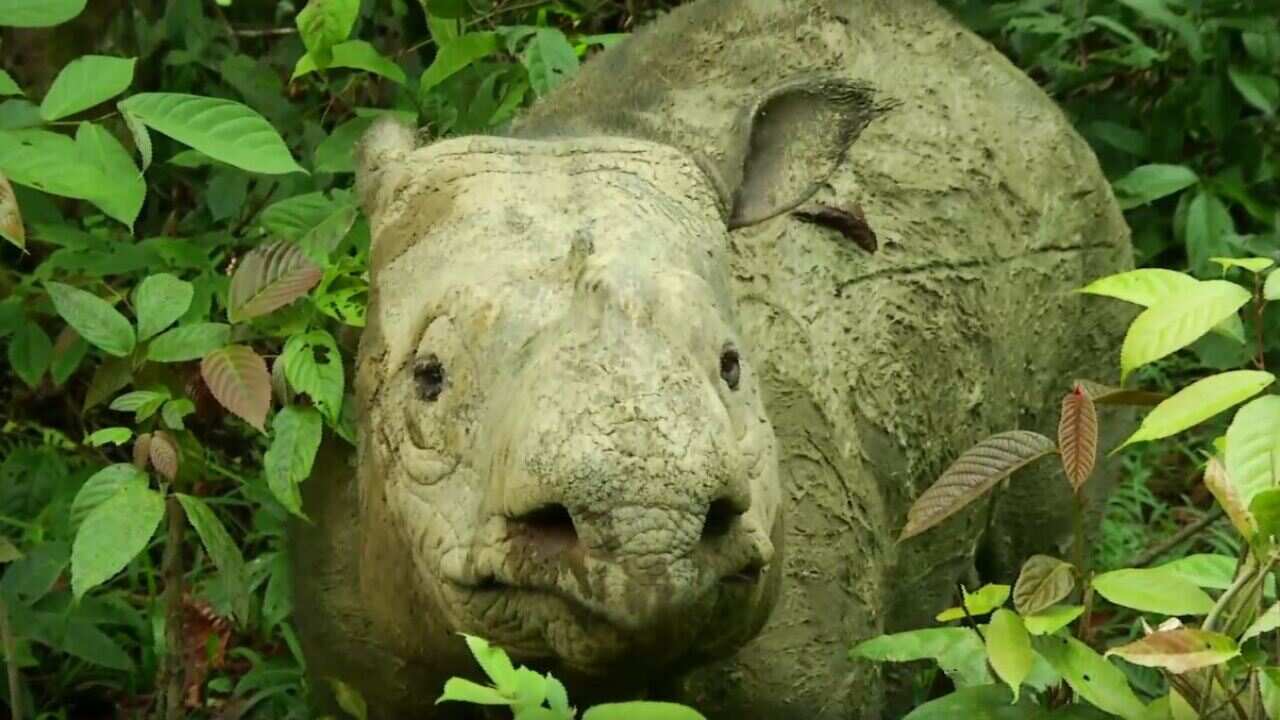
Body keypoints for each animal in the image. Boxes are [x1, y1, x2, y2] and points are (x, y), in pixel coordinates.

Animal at [289, 0, 1133, 717]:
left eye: (733, 366)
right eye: (428, 379)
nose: (647, 535)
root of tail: (989, 62)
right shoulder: (356, 660)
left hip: (1077, 232)